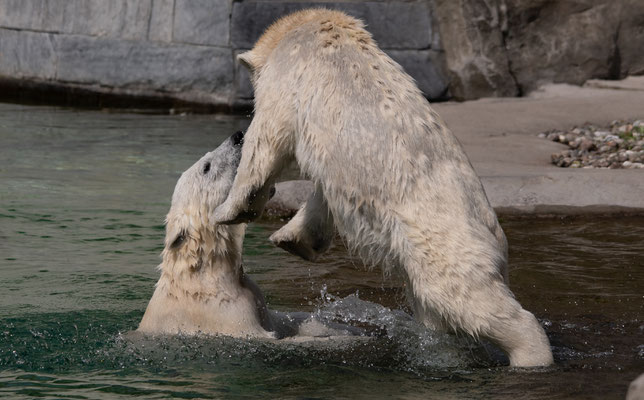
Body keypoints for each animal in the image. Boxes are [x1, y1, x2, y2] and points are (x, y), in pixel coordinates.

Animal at [214, 9, 556, 368]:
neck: (312, 27)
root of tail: (497, 240)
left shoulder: (288, 78)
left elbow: (265, 141)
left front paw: (227, 210)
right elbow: (325, 190)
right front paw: (294, 239)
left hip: (443, 243)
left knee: (465, 298)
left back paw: (530, 355)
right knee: (437, 313)